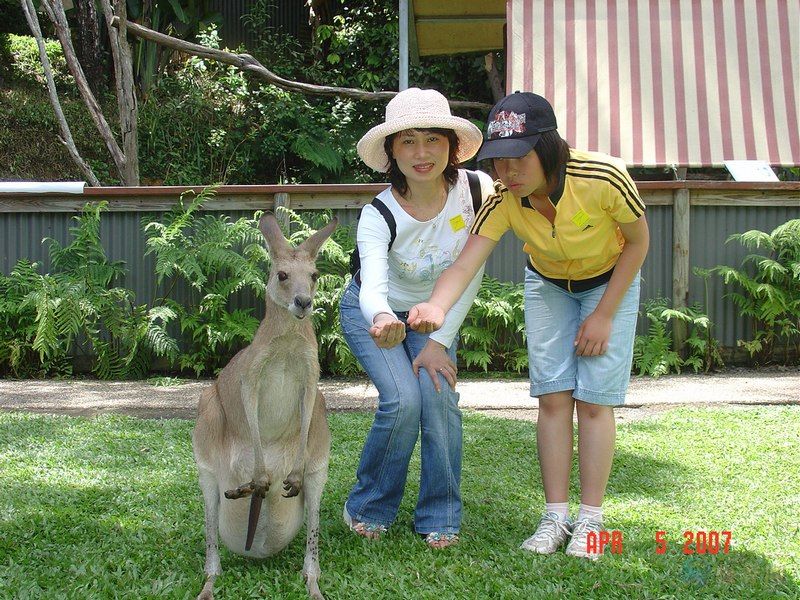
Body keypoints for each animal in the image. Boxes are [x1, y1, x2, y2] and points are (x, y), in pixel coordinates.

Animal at [192, 213, 337, 600]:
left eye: (314, 275)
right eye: (282, 275)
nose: (303, 302)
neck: (287, 341)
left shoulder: (311, 382)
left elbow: (306, 402)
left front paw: (286, 476)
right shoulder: (251, 377)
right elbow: (250, 408)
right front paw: (258, 475)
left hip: (320, 453)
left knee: (312, 530)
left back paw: (314, 586)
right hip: (206, 433)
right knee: (211, 536)